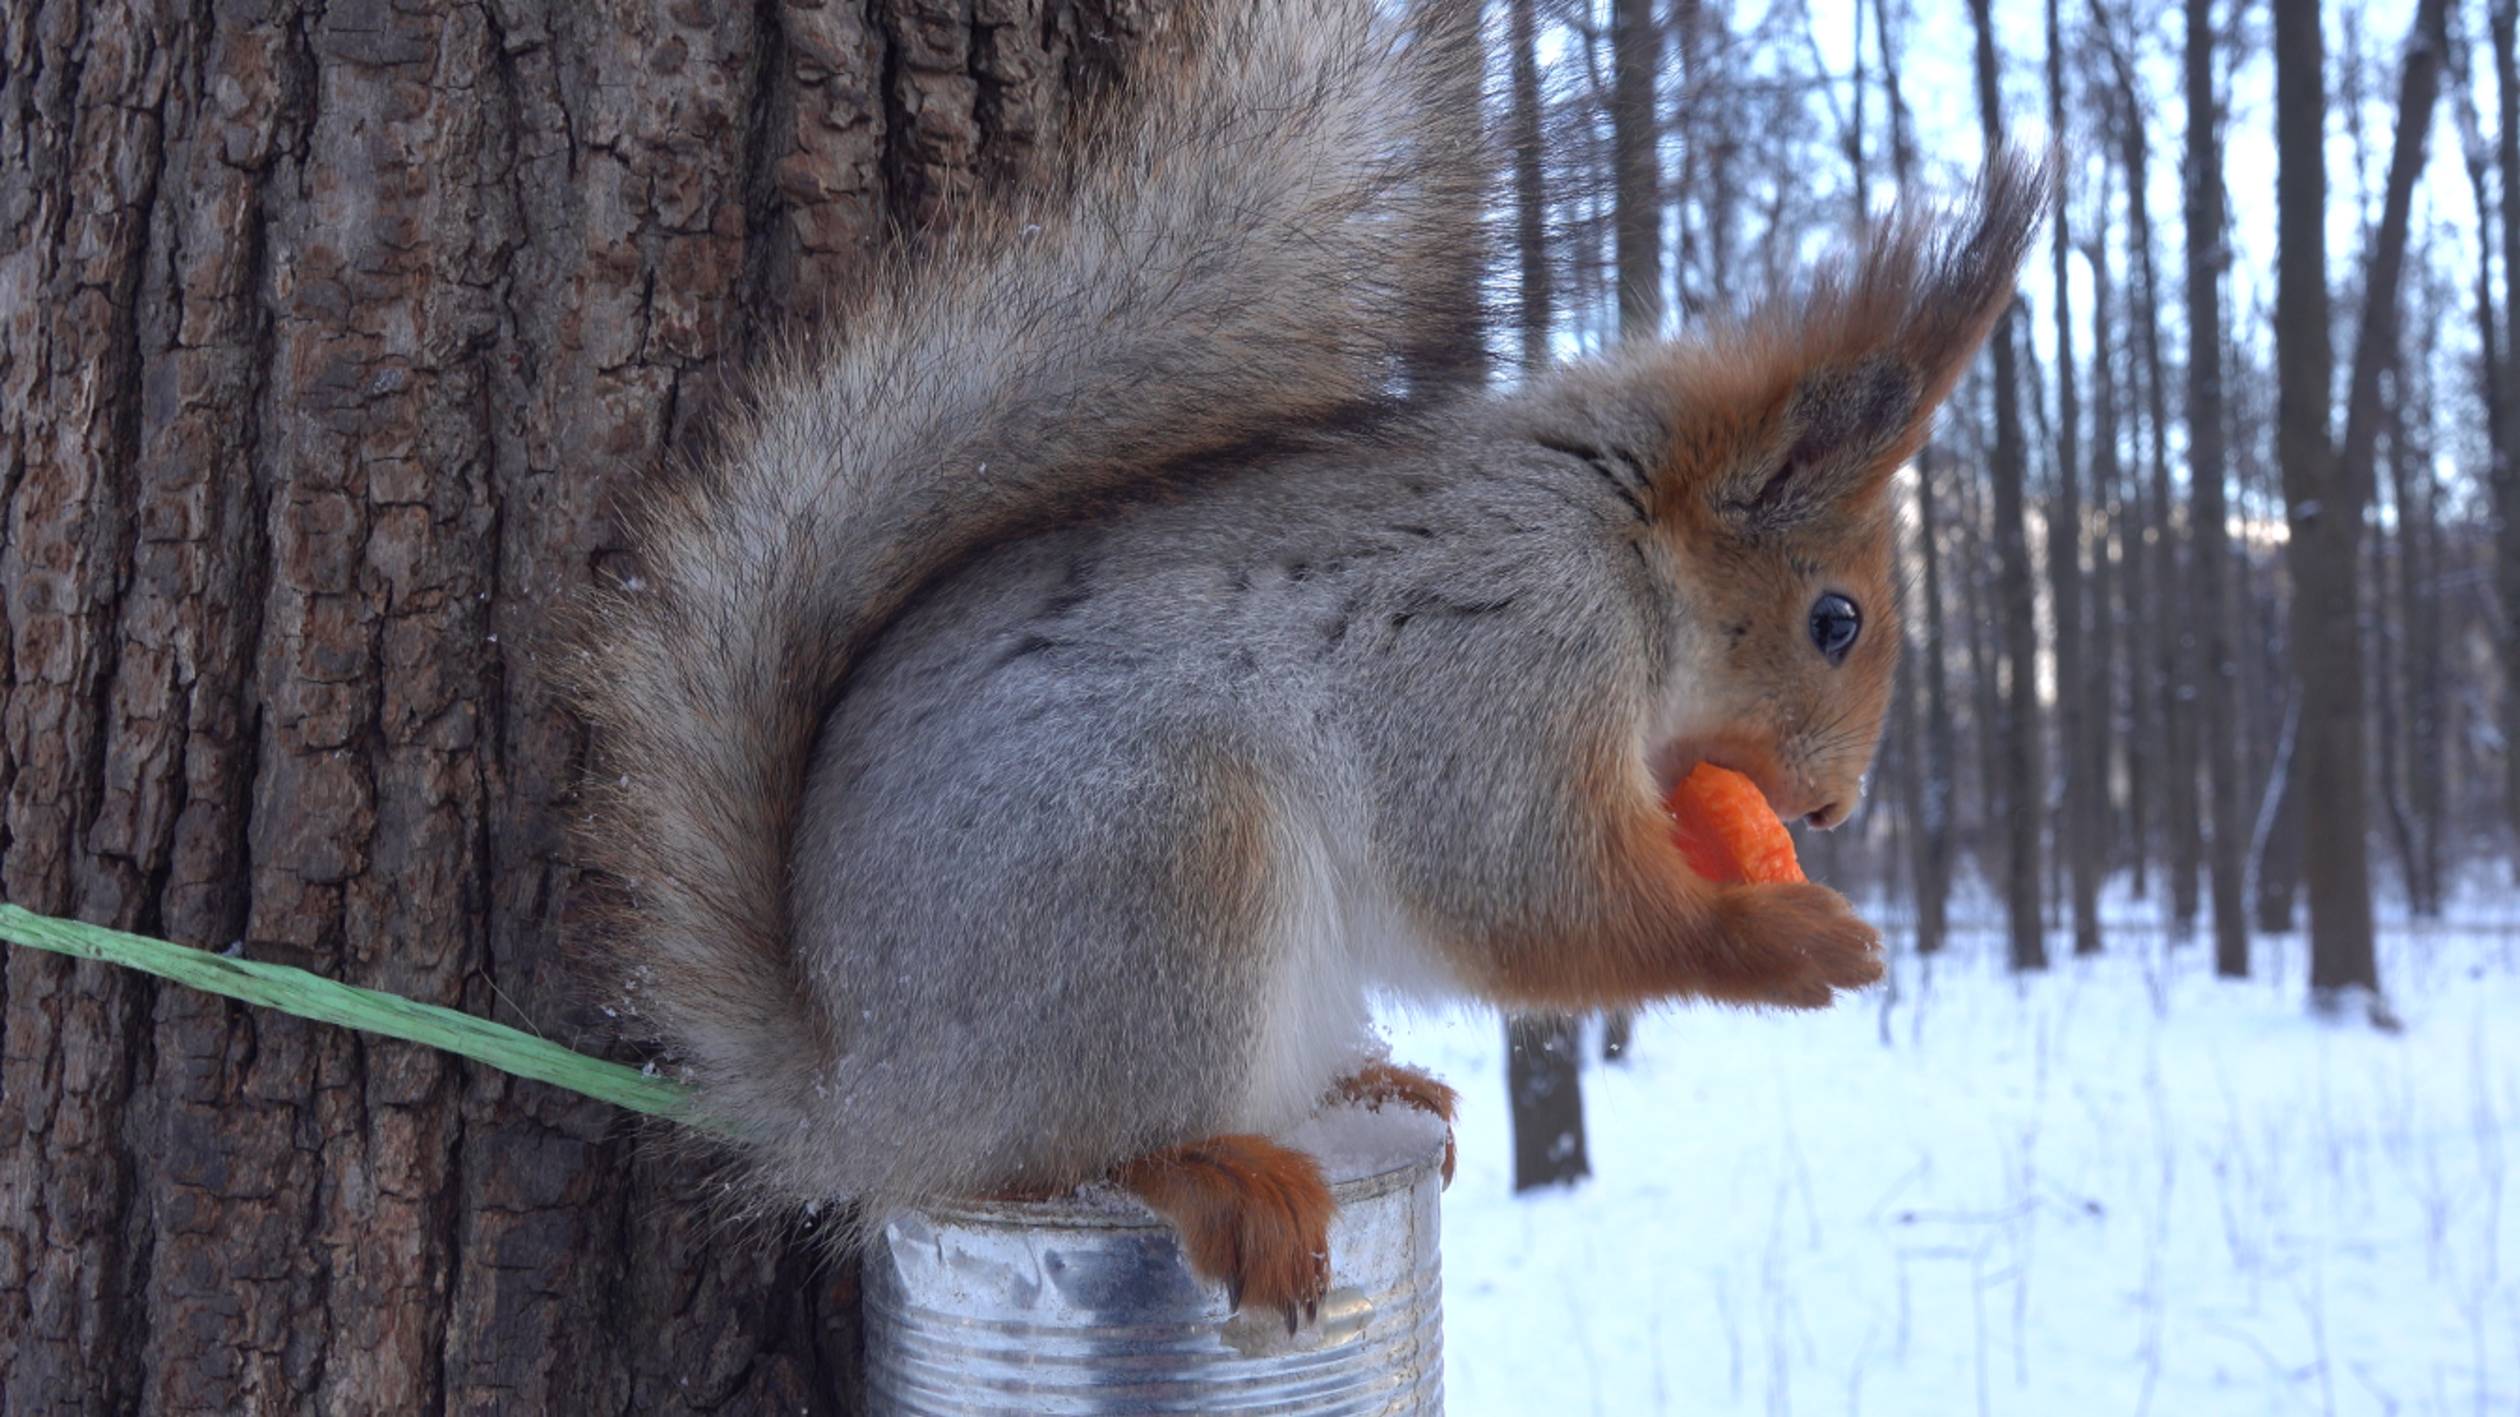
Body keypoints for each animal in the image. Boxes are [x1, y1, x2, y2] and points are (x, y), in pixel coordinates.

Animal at [556, 0, 2046, 1321]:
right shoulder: (1503, 653)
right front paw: (1790, 938)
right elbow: (1532, 895)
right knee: (1058, 1155)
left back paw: (1371, 1091)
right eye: (1836, 620)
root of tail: (857, 1095)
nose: (1834, 809)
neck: (1617, 542)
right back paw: (1217, 1171)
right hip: (1162, 870)